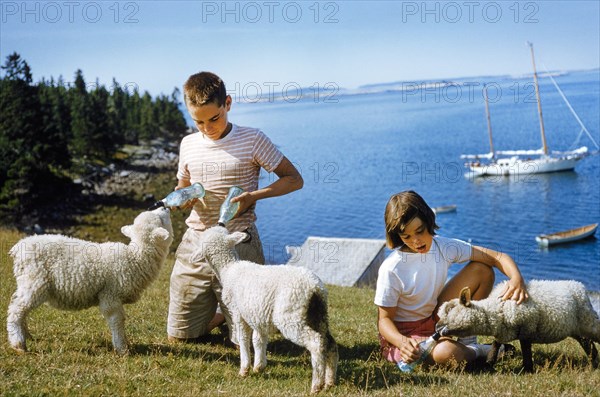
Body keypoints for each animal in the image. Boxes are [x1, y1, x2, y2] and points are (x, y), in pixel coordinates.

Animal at [7, 207, 173, 352]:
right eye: (160, 220)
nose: (164, 206)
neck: (134, 258)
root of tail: (17, 248)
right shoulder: (111, 295)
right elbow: (117, 320)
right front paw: (122, 348)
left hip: (27, 281)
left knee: (21, 309)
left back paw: (27, 335)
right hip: (34, 281)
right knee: (16, 309)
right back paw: (18, 343)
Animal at [192, 226, 338, 392]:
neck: (228, 269)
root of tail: (315, 288)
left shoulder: (237, 313)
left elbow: (243, 339)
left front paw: (244, 369)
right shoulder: (258, 314)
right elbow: (258, 340)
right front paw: (259, 367)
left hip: (291, 315)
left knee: (316, 343)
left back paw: (316, 385)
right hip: (318, 315)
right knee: (330, 343)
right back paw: (330, 381)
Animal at [436, 278, 600, 372]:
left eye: (449, 311)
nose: (436, 327)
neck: (496, 309)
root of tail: (580, 287)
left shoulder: (527, 327)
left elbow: (526, 350)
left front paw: (527, 370)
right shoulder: (501, 332)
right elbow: (495, 346)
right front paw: (488, 364)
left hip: (588, 320)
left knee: (592, 339)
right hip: (577, 328)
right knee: (588, 343)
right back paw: (593, 363)